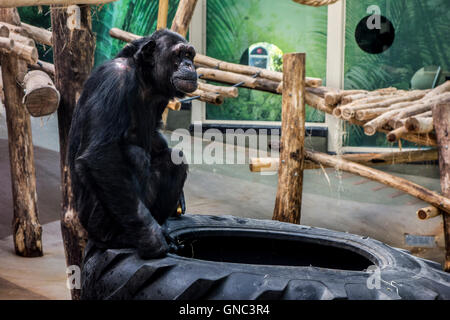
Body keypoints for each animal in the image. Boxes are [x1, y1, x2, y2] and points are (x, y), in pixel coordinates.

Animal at [67, 29, 196, 260]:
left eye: (190, 55)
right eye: (179, 54)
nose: (189, 65)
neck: (145, 79)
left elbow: (155, 135)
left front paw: (179, 201)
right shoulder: (114, 81)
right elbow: (101, 155)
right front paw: (153, 240)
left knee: (174, 161)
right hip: (94, 222)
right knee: (135, 156)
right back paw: (122, 237)